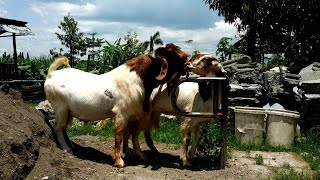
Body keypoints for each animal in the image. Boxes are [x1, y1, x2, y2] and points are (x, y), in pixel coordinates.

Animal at [45, 43, 190, 167]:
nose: (188, 58)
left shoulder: (133, 115)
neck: (137, 79)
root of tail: (51, 75)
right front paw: (119, 160)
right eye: (172, 53)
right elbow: (119, 135)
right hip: (60, 108)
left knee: (64, 127)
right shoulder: (121, 113)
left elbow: (132, 134)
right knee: (58, 127)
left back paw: (71, 145)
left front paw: (137, 154)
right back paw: (66, 149)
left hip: (68, 111)